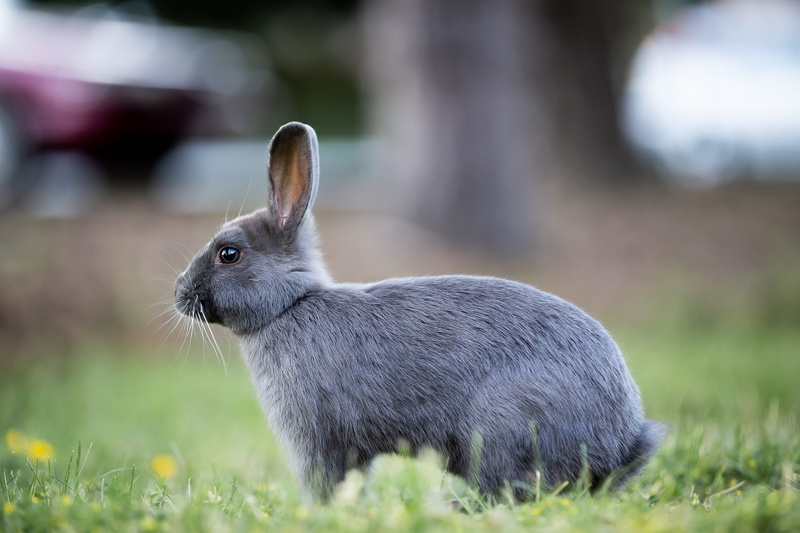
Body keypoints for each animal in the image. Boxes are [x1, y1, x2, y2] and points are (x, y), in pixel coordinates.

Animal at [174, 121, 664, 503]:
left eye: (229, 254)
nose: (179, 292)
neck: (289, 306)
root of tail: (617, 445)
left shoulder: (318, 437)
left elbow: (328, 482)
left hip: (504, 427)